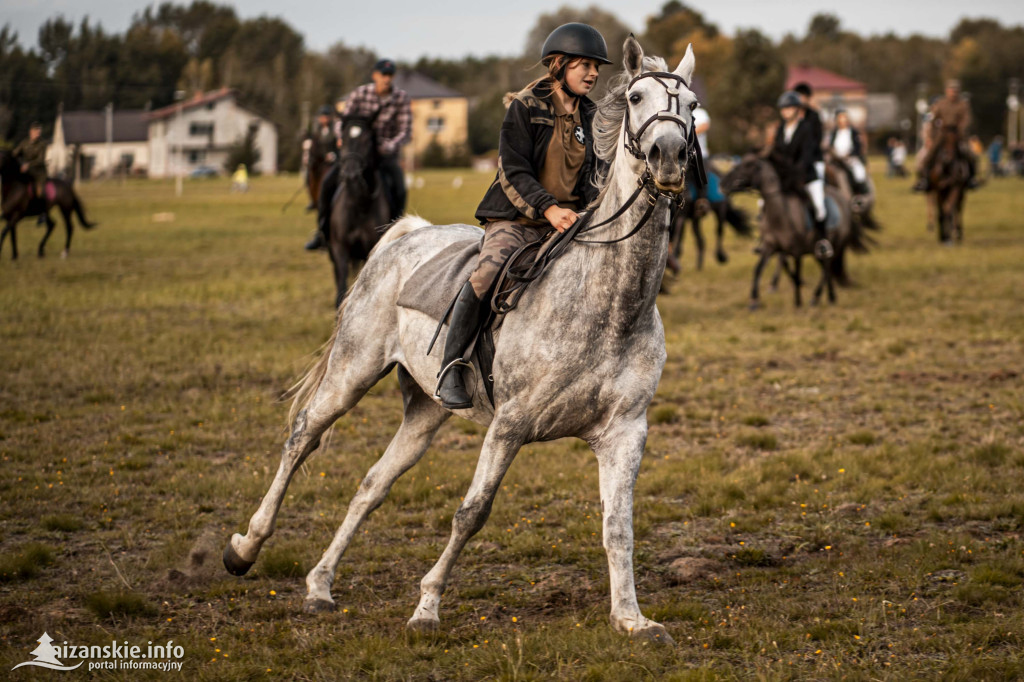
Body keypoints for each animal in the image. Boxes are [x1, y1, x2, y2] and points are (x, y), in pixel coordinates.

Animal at [323, 116, 391, 305]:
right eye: (343, 139)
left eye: (367, 140)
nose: (350, 175)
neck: (360, 204)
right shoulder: (340, 249)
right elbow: (341, 289)